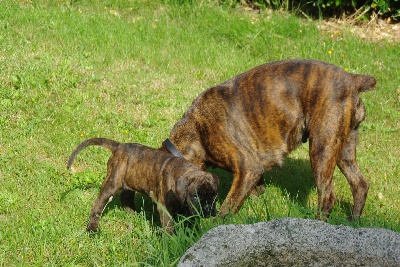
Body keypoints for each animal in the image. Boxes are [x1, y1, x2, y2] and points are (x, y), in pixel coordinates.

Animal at [67, 139, 220, 233]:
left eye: (214, 195)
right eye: (196, 196)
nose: (207, 209)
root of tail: (119, 146)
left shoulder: (188, 209)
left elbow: (191, 220)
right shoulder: (164, 208)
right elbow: (169, 227)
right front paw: (171, 241)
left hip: (130, 180)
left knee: (125, 196)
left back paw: (132, 214)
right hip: (112, 183)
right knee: (98, 204)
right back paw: (92, 229)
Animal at [159, 58, 376, 220]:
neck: (196, 130)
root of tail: (352, 80)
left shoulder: (248, 169)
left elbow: (228, 205)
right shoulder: (253, 176)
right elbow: (253, 193)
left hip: (322, 149)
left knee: (328, 197)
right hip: (343, 149)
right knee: (360, 184)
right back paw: (353, 220)